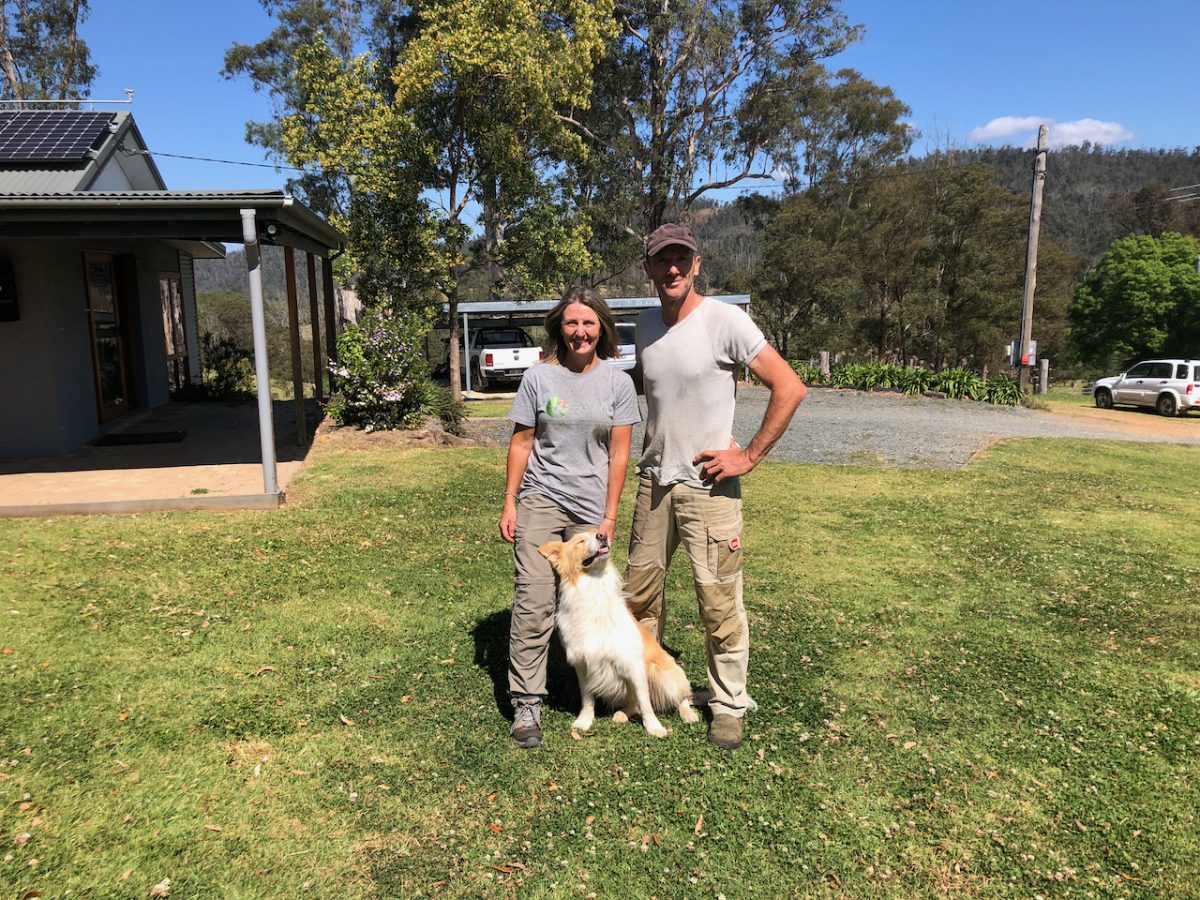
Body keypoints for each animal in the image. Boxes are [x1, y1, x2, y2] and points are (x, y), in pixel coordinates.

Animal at [540, 532, 700, 734]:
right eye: (580, 541)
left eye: (596, 532)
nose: (602, 535)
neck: (595, 585)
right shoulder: (582, 663)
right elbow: (587, 698)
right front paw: (584, 721)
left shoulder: (633, 663)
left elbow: (645, 702)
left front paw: (654, 727)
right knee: (636, 704)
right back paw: (621, 715)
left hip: (661, 672)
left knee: (683, 696)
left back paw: (688, 715)